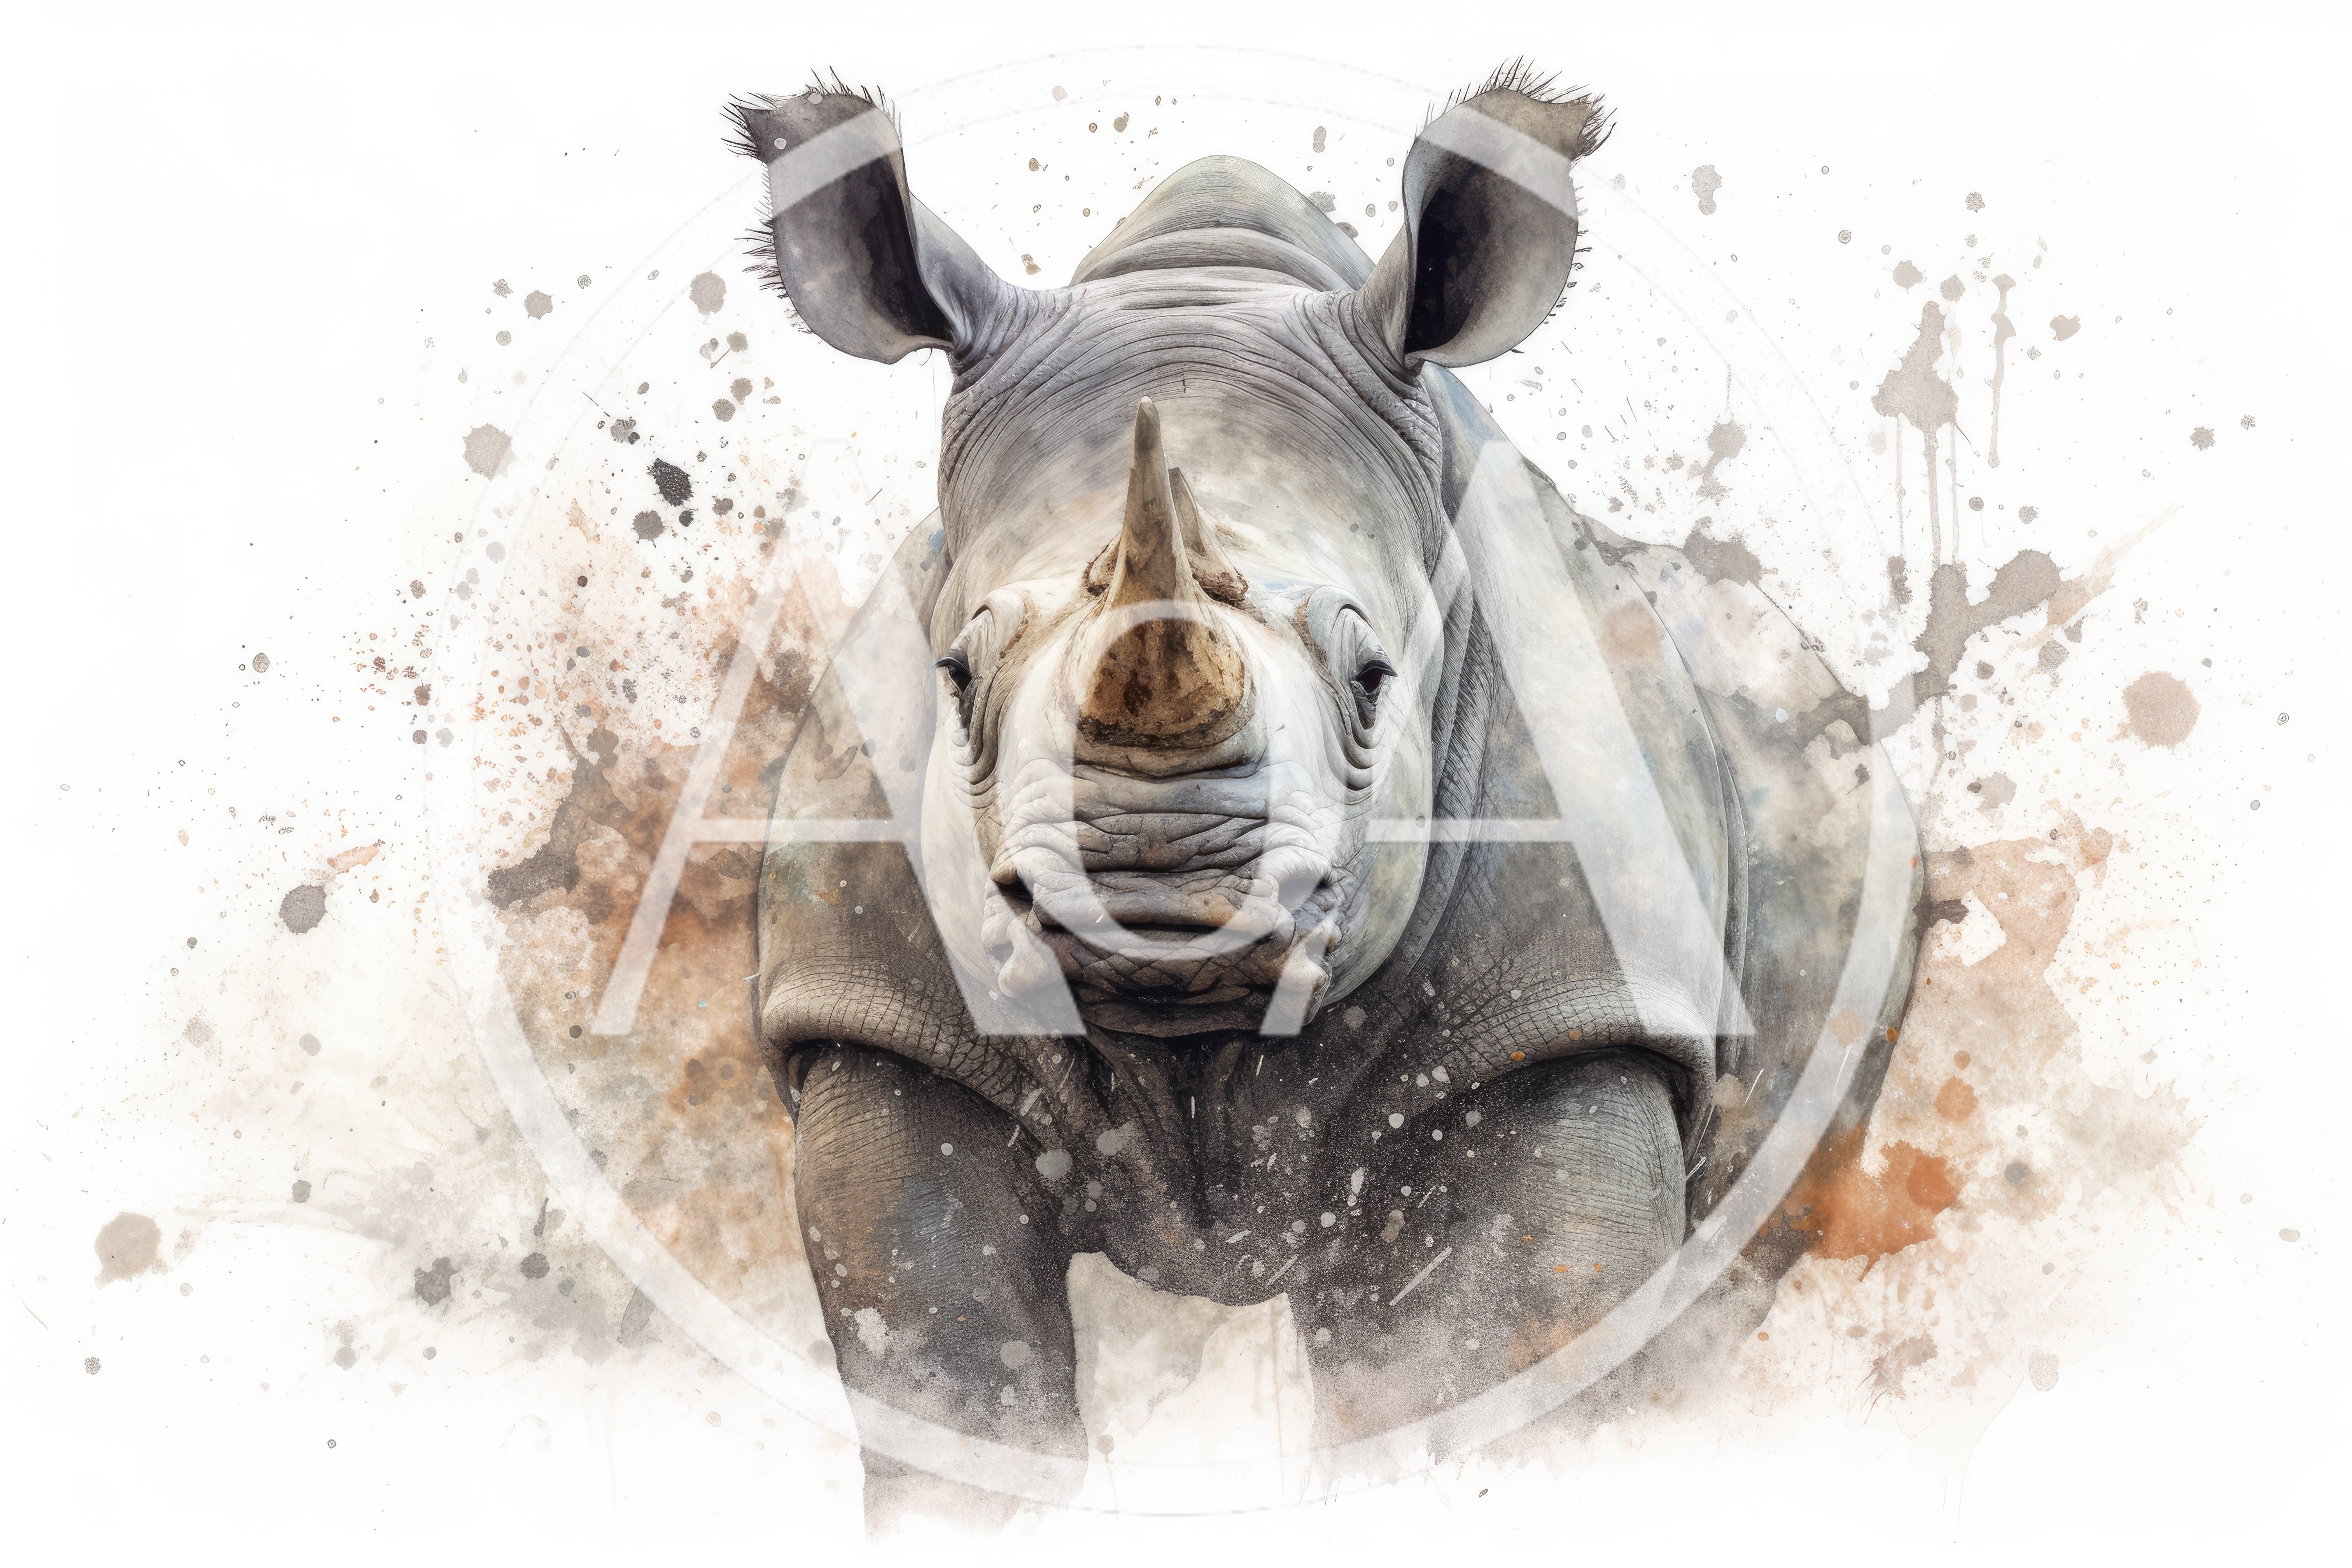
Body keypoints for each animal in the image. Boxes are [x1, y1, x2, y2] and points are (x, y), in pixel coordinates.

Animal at [730, 67, 1921, 1519]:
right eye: (957, 676)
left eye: (1373, 678)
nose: (1155, 896)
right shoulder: (879, 1021)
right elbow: (952, 1379)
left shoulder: (1575, 1008)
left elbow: (1502, 1355)